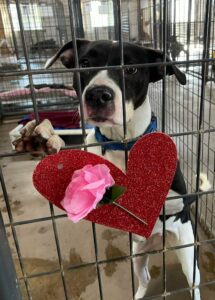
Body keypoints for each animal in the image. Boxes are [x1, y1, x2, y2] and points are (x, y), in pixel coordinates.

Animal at [14, 40, 211, 300]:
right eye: (85, 63)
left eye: (132, 69)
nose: (98, 95)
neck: (120, 141)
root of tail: (160, 240)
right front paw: (42, 137)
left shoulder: (177, 195)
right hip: (138, 257)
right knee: (145, 279)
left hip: (189, 256)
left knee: (194, 285)